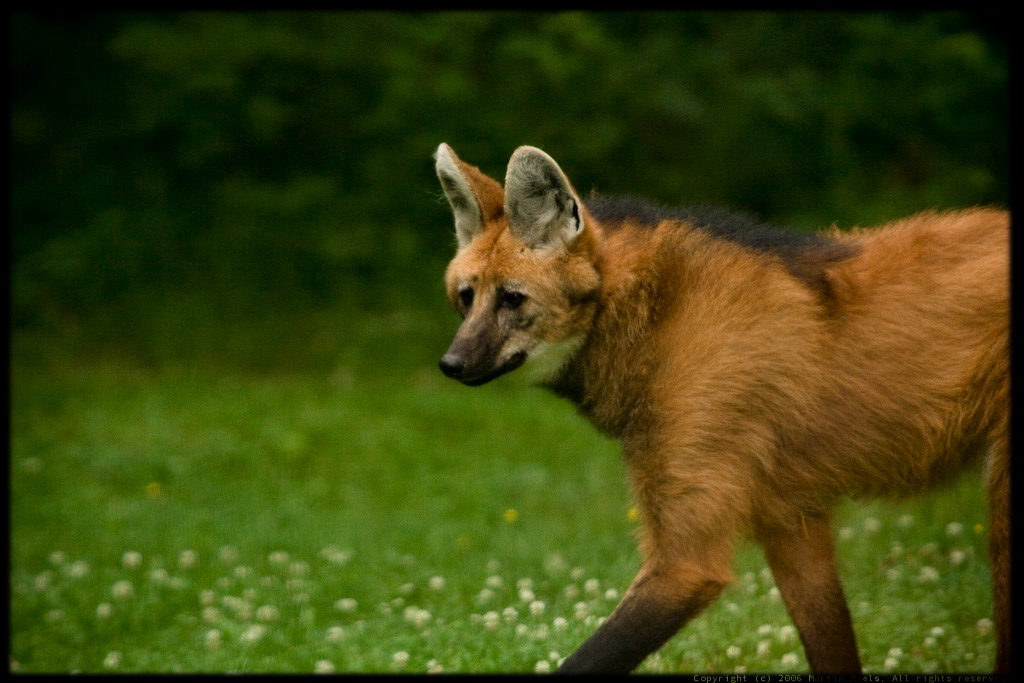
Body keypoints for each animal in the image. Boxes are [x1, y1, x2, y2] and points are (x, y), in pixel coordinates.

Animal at [432, 144, 1007, 671]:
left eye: (513, 299)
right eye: (467, 296)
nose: (451, 363)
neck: (657, 317)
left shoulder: (688, 562)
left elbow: (587, 658)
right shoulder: (790, 518)